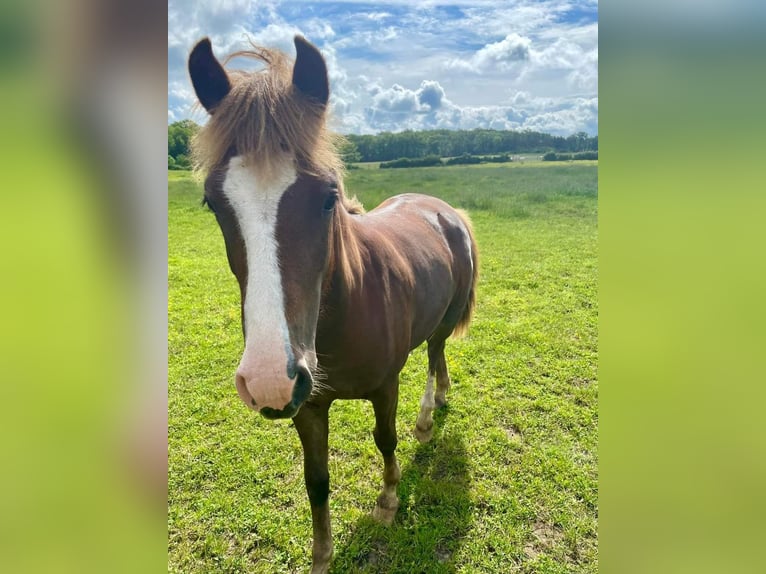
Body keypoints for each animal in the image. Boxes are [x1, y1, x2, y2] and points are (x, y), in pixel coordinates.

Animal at [188, 37, 476, 574]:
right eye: (212, 203)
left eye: (328, 197)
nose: (269, 379)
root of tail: (443, 209)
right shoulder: (307, 406)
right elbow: (315, 480)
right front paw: (322, 554)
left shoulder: (386, 386)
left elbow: (386, 439)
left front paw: (388, 501)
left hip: (441, 324)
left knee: (434, 356)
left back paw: (428, 416)